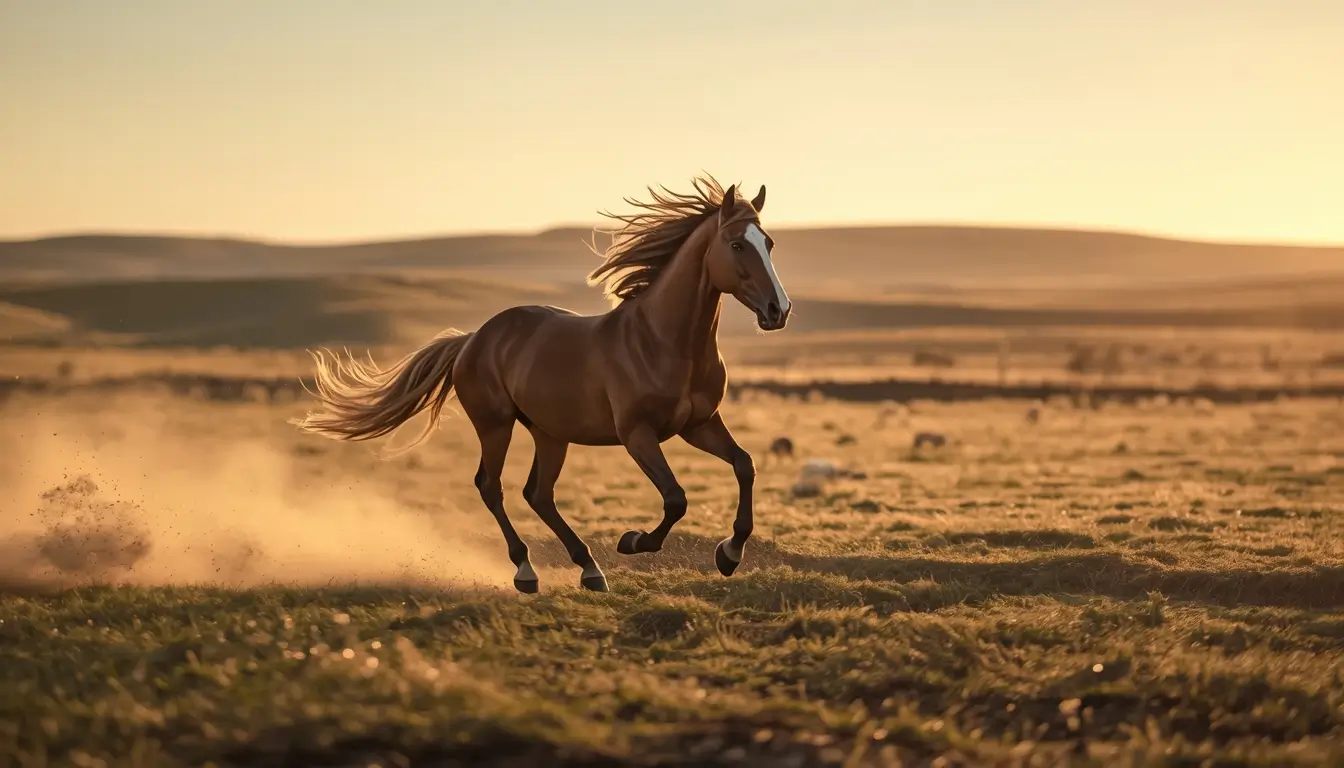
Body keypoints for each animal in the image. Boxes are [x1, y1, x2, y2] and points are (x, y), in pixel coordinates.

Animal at [291, 175, 792, 594]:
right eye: (736, 244)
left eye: (768, 243)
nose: (778, 310)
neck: (664, 341)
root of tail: (473, 338)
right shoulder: (637, 434)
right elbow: (675, 499)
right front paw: (633, 541)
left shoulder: (698, 424)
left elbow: (744, 466)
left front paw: (729, 555)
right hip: (496, 424)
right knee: (491, 486)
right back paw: (527, 571)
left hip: (551, 434)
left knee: (538, 493)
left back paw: (589, 569)